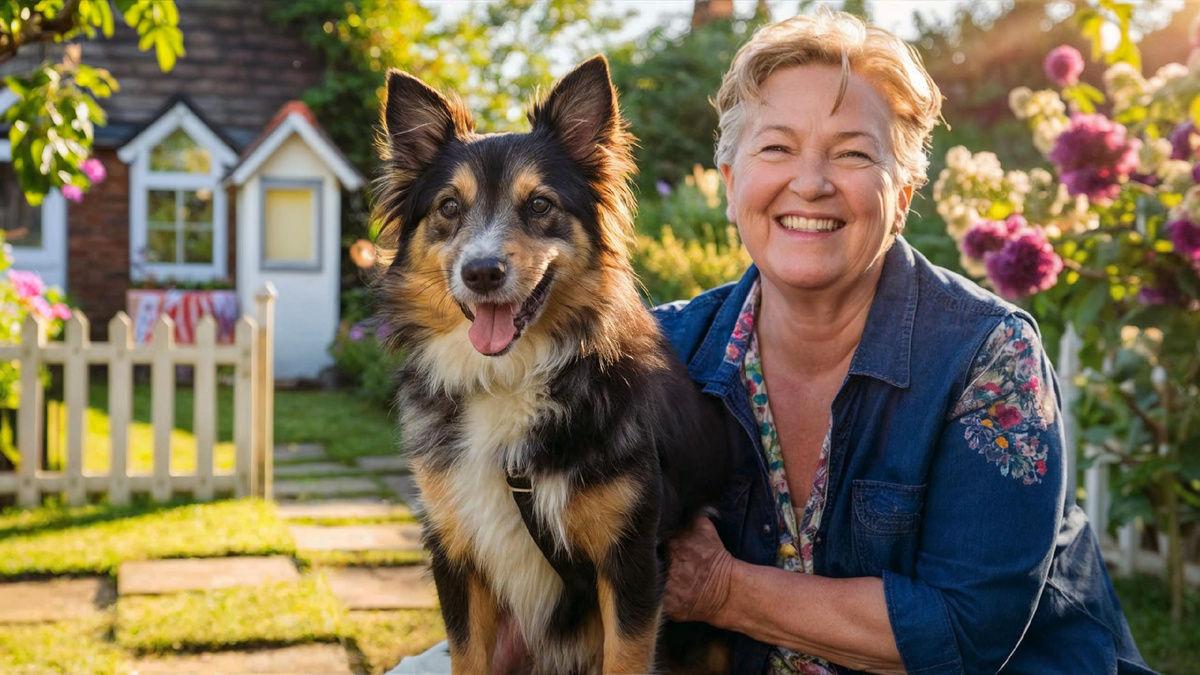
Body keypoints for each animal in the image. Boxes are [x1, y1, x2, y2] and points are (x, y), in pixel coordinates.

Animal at [374, 53, 729, 672]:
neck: (506, 378)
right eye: (449, 207)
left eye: (539, 205)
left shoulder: (630, 562)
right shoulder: (455, 552)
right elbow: (466, 655)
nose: (482, 272)